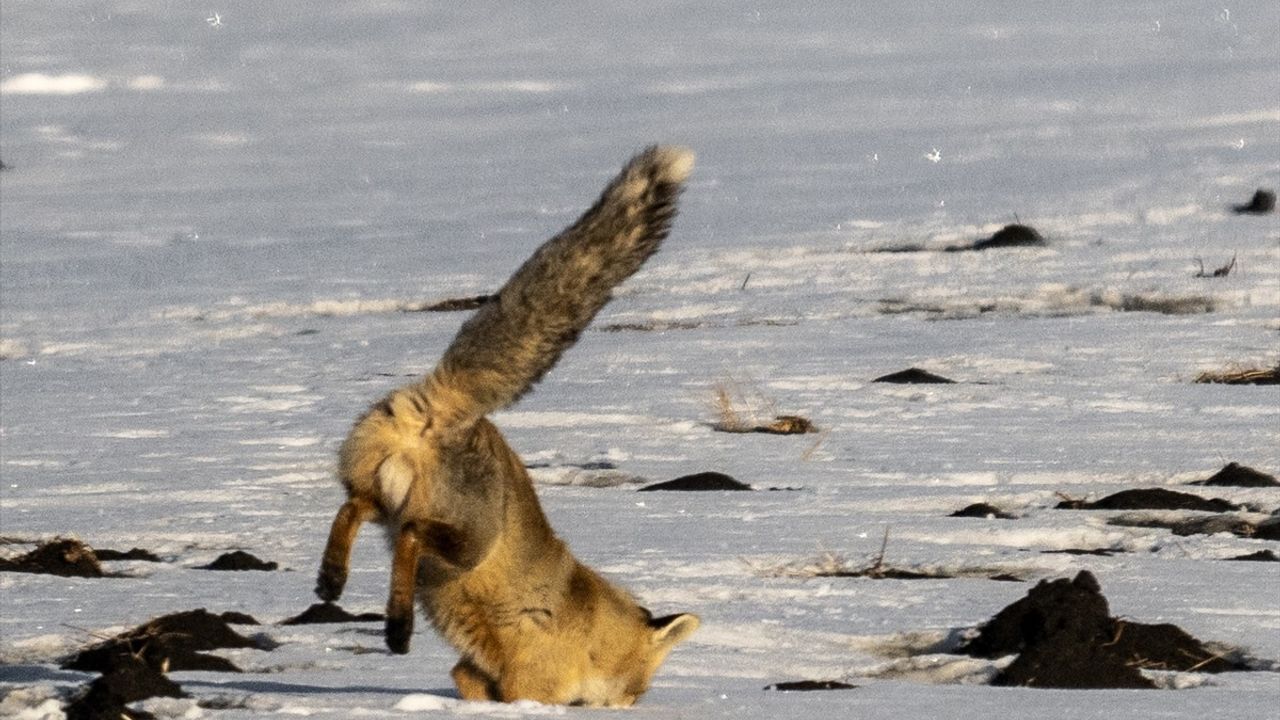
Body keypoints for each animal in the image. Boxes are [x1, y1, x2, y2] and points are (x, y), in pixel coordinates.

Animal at [317, 142, 701, 702]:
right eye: (638, 691)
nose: (630, 708)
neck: (585, 631)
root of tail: (443, 405)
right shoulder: (530, 682)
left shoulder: (472, 672)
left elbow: (463, 678)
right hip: (467, 538)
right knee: (410, 534)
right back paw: (397, 625)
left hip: (380, 496)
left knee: (352, 509)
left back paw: (333, 578)